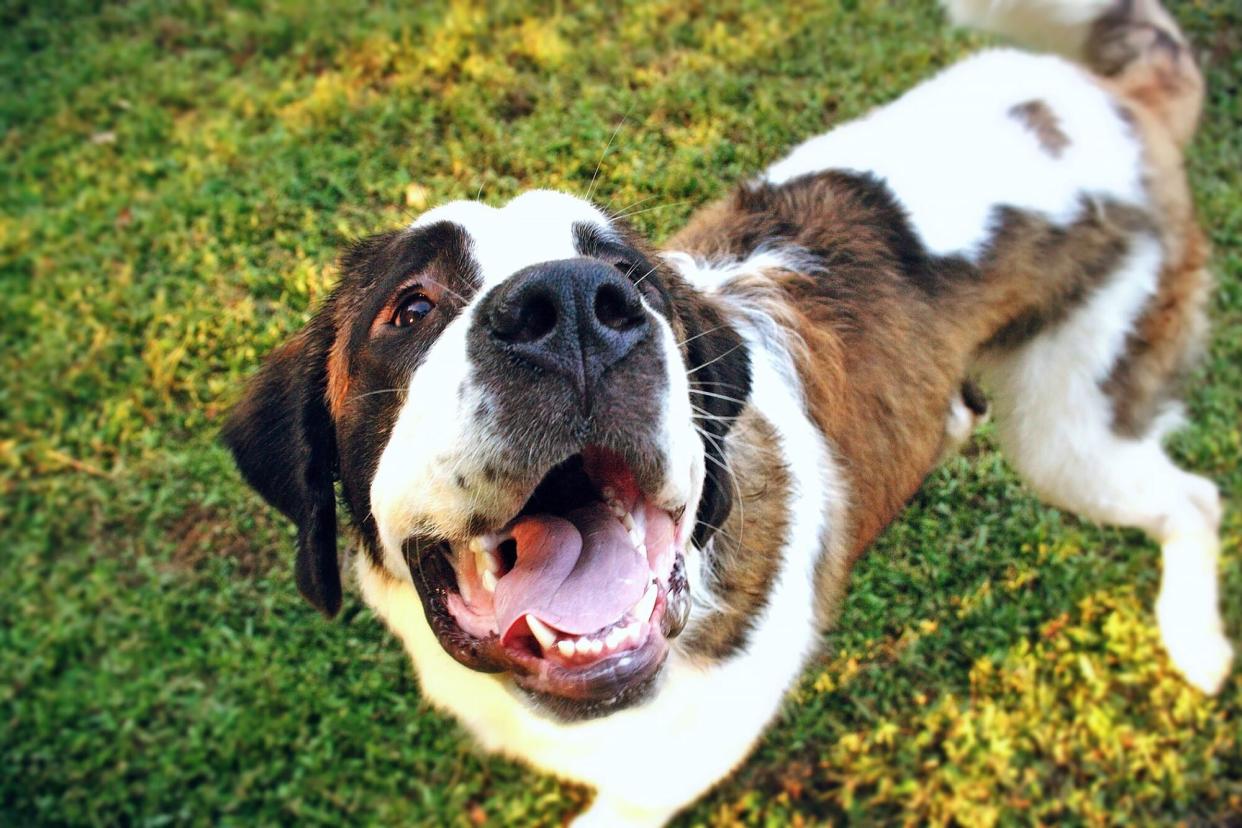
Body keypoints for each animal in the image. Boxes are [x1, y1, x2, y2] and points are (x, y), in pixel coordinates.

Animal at [223, 0, 1232, 824]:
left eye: (630, 278)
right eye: (412, 308)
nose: (576, 308)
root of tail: (1114, 98)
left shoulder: (684, 755)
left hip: (1072, 430)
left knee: (1192, 498)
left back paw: (1196, 642)